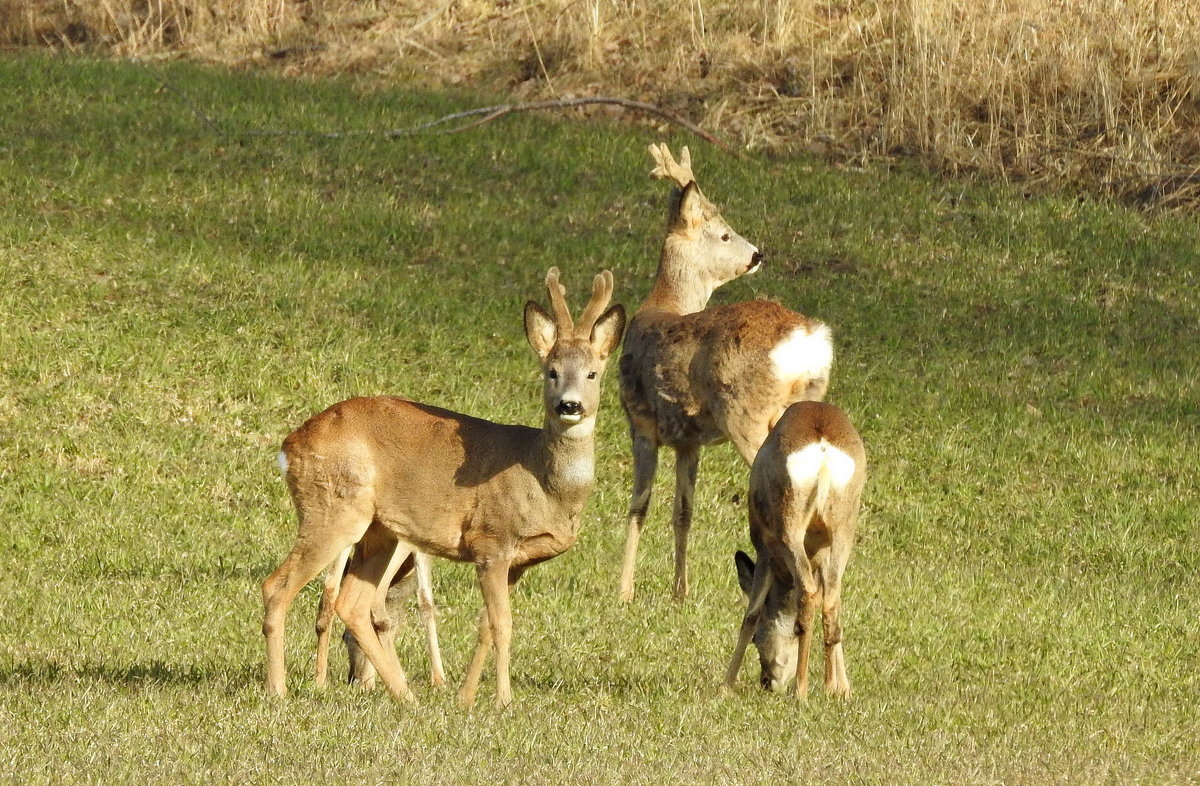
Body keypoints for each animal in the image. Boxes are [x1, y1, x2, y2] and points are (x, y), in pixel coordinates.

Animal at [314, 547, 446, 691]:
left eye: (344, 637)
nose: (353, 679)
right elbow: (426, 603)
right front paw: (439, 680)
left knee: (329, 591)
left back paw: (320, 682)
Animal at [619, 144, 835, 602]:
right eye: (724, 234)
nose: (757, 254)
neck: (662, 304)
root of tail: (808, 339)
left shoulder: (641, 422)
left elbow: (639, 504)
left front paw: (623, 590)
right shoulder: (689, 440)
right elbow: (683, 510)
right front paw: (680, 592)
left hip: (746, 411)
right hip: (805, 403)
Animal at [720, 403, 864, 696]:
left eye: (757, 639)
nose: (767, 682)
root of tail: (823, 451)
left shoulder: (765, 550)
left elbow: (751, 614)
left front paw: (725, 687)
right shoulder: (822, 557)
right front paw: (844, 689)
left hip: (789, 528)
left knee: (807, 594)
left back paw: (801, 692)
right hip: (843, 529)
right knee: (831, 602)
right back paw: (829, 687)